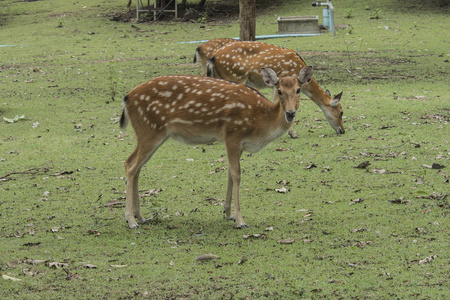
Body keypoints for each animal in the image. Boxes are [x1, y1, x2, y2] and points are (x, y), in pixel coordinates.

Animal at [121, 67, 314, 229]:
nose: (290, 113)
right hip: (150, 130)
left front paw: (228, 213)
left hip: (151, 133)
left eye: (298, 90)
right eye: (279, 91)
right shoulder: (232, 134)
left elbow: (229, 173)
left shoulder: (238, 143)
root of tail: (126, 98)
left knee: (135, 165)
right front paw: (240, 220)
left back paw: (141, 217)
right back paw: (131, 221)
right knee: (130, 166)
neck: (259, 123)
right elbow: (236, 175)